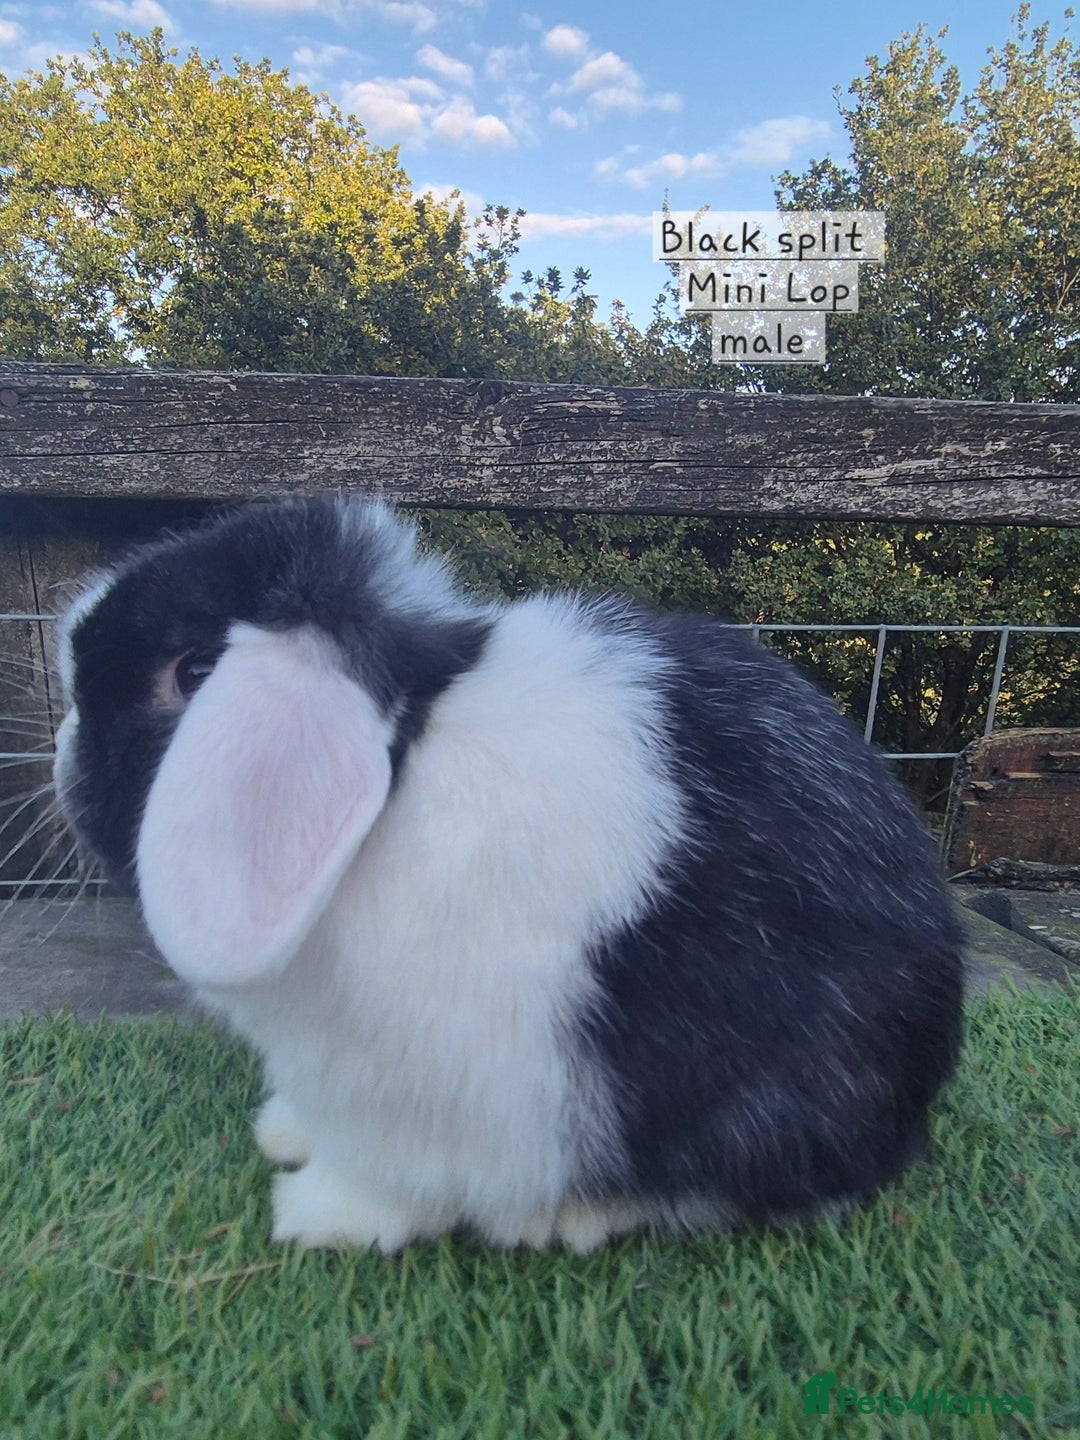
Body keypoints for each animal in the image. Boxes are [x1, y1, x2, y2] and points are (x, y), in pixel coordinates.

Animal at [53, 496, 964, 1253]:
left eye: (192, 674)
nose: (60, 738)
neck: (401, 774)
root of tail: (915, 1107)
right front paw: (283, 1134)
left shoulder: (413, 1099)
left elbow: (387, 1183)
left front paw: (312, 1216)